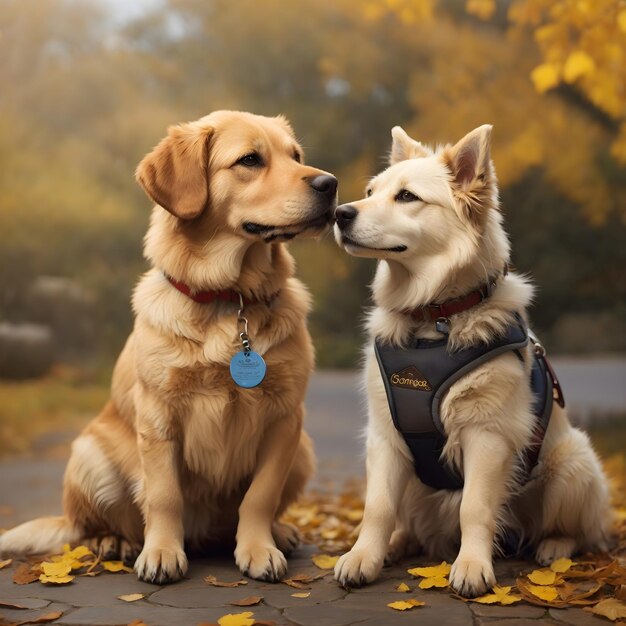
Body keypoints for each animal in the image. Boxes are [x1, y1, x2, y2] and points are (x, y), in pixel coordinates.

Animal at [332, 123, 608, 596]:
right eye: (370, 191)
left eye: (406, 196)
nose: (339, 213)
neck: (434, 320)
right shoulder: (386, 437)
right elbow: (378, 508)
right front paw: (364, 557)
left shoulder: (487, 435)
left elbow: (475, 509)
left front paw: (473, 565)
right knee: (409, 522)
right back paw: (398, 543)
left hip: (572, 464)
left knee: (576, 530)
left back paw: (553, 547)